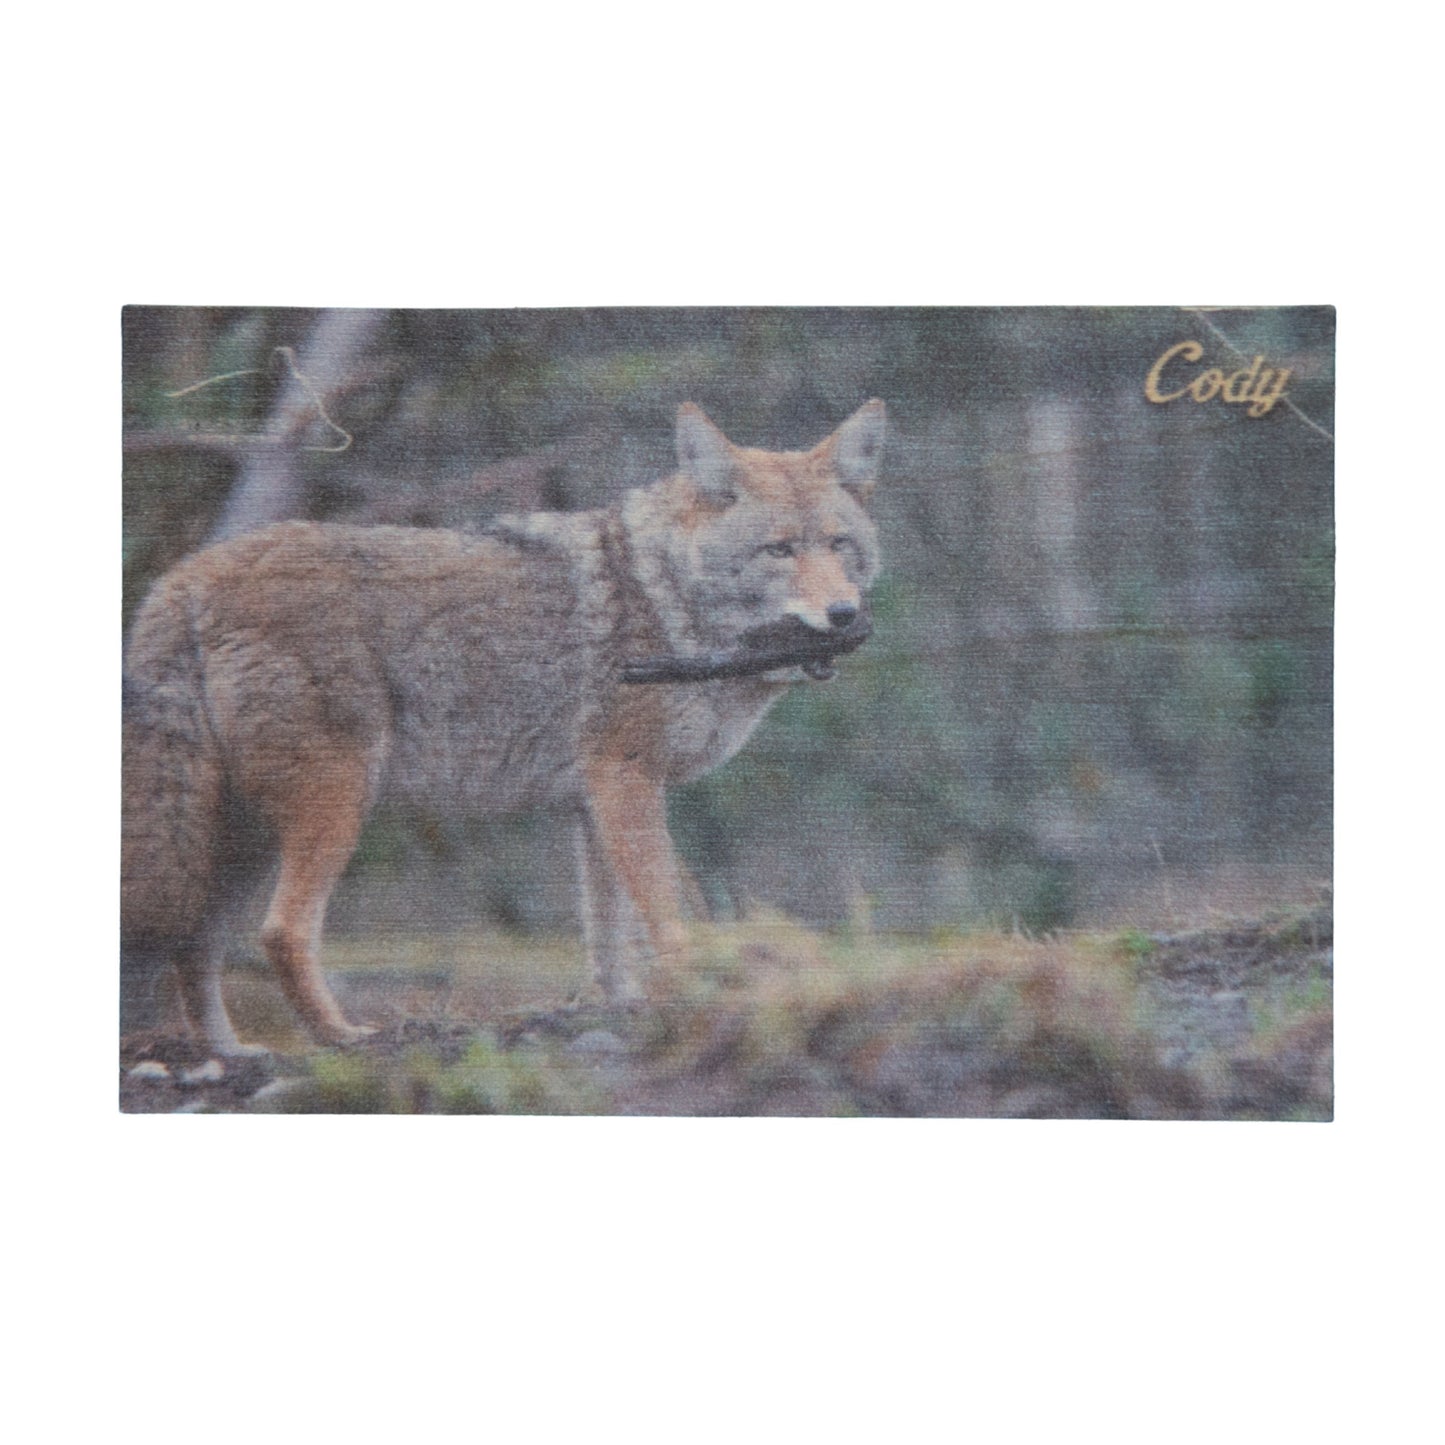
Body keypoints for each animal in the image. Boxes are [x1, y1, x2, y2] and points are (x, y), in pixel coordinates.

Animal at [121, 399, 886, 1053]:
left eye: (839, 545)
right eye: (779, 551)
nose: (844, 615)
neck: (669, 599)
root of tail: (185, 576)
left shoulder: (592, 803)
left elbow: (608, 936)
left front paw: (623, 1010)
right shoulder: (626, 780)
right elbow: (666, 916)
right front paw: (691, 996)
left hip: (244, 837)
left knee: (196, 942)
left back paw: (229, 1053)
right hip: (332, 812)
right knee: (279, 932)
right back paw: (345, 1038)